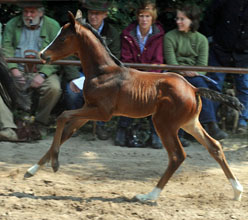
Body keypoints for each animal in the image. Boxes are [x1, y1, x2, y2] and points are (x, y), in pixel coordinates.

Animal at [24, 11, 243, 201]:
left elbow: (62, 116)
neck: (103, 72)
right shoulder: (87, 111)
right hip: (190, 123)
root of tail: (194, 88)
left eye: (62, 38)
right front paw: (31, 170)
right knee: (214, 147)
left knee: (177, 156)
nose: (42, 55)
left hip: (164, 123)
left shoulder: (101, 113)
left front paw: (55, 164)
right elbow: (66, 132)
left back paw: (149, 196)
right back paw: (237, 191)